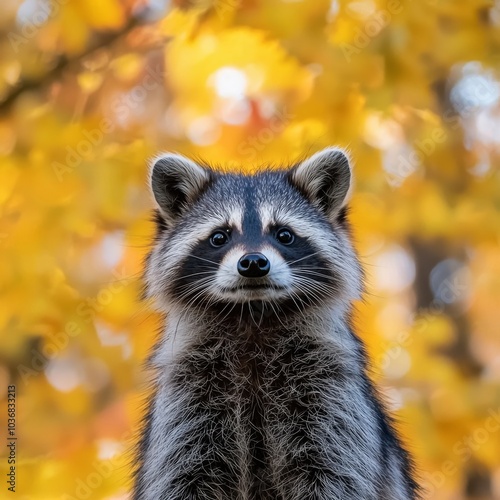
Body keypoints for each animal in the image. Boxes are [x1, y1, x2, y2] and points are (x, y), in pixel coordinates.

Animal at [132, 148, 418, 500]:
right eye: (219, 237)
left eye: (284, 234)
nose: (254, 263)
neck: (253, 315)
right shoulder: (186, 398)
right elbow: (180, 477)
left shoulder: (333, 394)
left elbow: (336, 473)